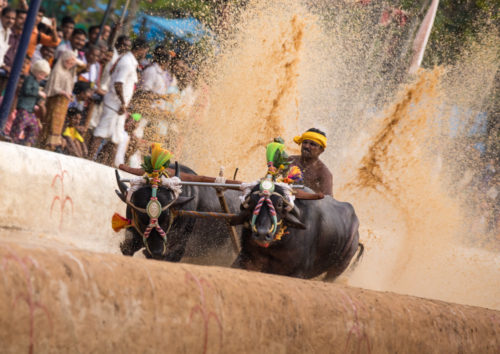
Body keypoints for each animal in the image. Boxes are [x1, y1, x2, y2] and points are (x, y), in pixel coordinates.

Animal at [230, 183, 364, 280]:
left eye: (279, 204)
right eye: (252, 202)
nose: (262, 234)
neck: (276, 246)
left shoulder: (298, 272)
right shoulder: (246, 258)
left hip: (338, 268)